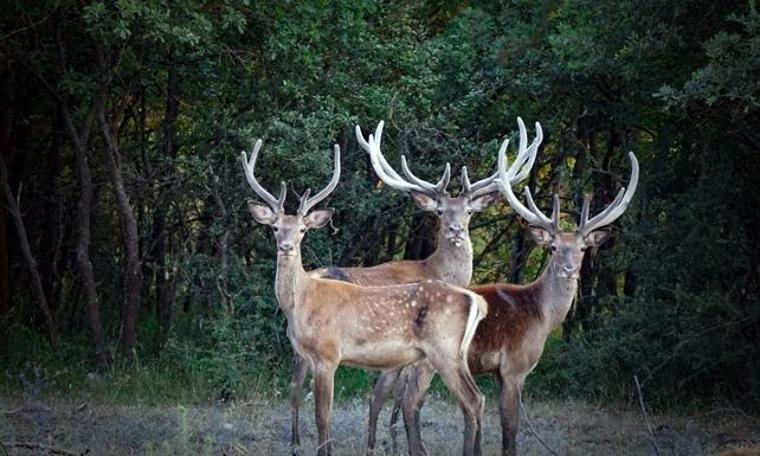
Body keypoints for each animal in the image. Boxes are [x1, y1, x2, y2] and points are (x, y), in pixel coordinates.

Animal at [240, 140, 490, 456]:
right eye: (274, 228)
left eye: (302, 229)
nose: (286, 247)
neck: (302, 304)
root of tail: (476, 301)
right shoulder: (310, 355)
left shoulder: (328, 354)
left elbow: (323, 417)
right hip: (455, 353)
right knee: (477, 399)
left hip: (443, 349)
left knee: (471, 400)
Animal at [282, 117, 544, 452]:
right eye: (441, 211)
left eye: (470, 211)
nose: (456, 230)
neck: (435, 269)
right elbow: (397, 400)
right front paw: (395, 444)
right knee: (299, 387)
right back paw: (296, 441)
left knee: (294, 386)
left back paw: (296, 440)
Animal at [382, 144, 640, 454]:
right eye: (553, 247)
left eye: (581, 248)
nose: (569, 270)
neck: (541, 315)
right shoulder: (515, 367)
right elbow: (510, 427)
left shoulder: (497, 372)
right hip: (431, 360)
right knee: (411, 404)